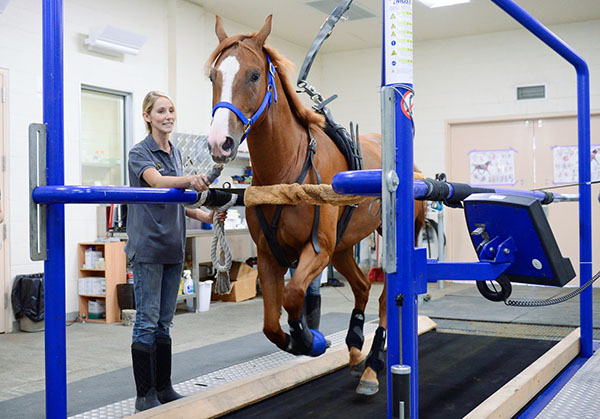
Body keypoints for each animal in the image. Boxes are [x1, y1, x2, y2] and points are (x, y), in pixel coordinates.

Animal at [206, 14, 426, 396]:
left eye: (254, 75)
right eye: (213, 77)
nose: (220, 142)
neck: (287, 167)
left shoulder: (317, 249)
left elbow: (294, 295)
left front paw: (310, 340)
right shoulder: (270, 255)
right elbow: (271, 324)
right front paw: (299, 340)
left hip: (390, 241)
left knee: (386, 299)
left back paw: (373, 366)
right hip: (343, 245)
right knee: (362, 286)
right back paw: (354, 345)